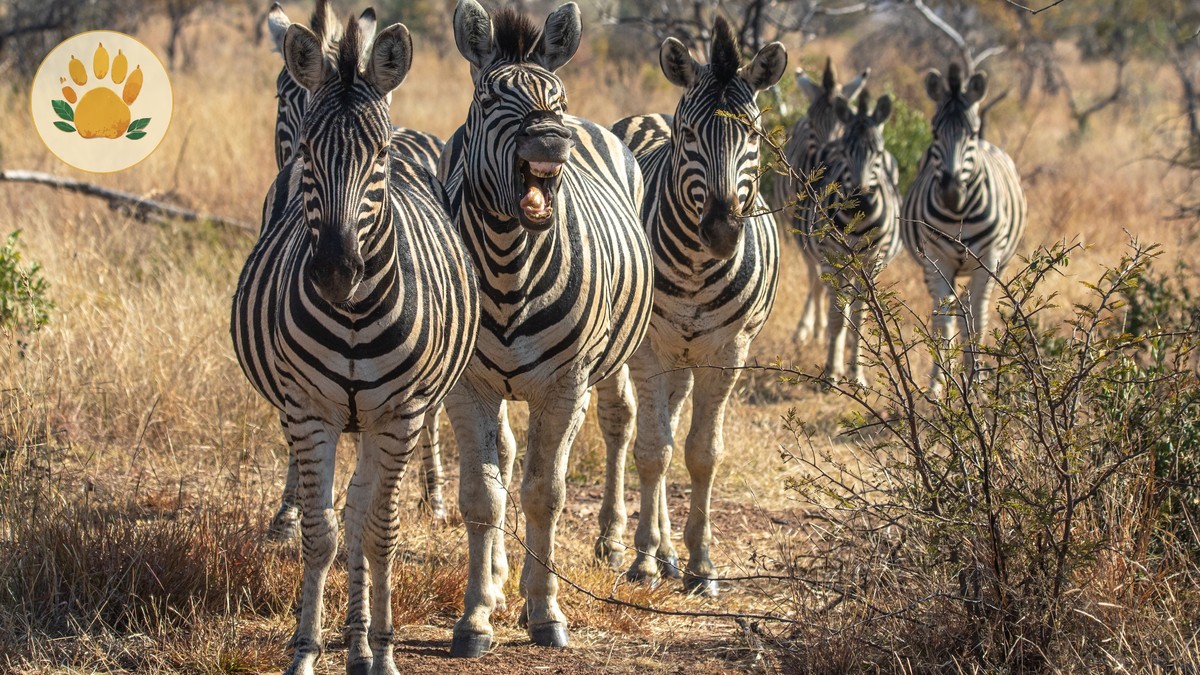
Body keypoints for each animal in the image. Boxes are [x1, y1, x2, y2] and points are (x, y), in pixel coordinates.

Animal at [440, 0, 653, 657]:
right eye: (488, 98)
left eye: (554, 98)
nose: (552, 139)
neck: (511, 262)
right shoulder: (468, 387)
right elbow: (482, 496)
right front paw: (476, 616)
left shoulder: (565, 384)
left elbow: (545, 494)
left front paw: (545, 612)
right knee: (506, 457)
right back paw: (496, 574)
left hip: (613, 358)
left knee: (619, 422)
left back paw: (615, 543)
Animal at [606, 17, 785, 597]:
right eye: (689, 136)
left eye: (752, 134)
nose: (723, 231)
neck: (695, 269)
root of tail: (647, 114)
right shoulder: (646, 350)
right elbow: (652, 450)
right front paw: (642, 560)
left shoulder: (728, 351)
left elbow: (702, 454)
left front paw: (700, 564)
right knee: (623, 424)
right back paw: (618, 542)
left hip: (684, 359)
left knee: (669, 416)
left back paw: (667, 552)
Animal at [769, 58, 869, 345]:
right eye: (813, 126)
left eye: (843, 127)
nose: (826, 164)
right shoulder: (802, 229)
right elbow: (816, 278)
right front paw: (811, 328)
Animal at [801, 90, 901, 385]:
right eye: (845, 152)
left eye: (877, 153)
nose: (862, 203)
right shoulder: (833, 258)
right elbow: (837, 316)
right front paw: (832, 372)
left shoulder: (873, 263)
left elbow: (861, 317)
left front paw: (857, 374)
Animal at [901, 63, 1027, 396]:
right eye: (934, 132)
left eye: (969, 133)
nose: (951, 192)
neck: (958, 213)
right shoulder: (937, 259)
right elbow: (943, 322)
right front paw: (938, 385)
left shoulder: (990, 260)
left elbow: (977, 321)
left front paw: (977, 385)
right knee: (948, 312)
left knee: (969, 310)